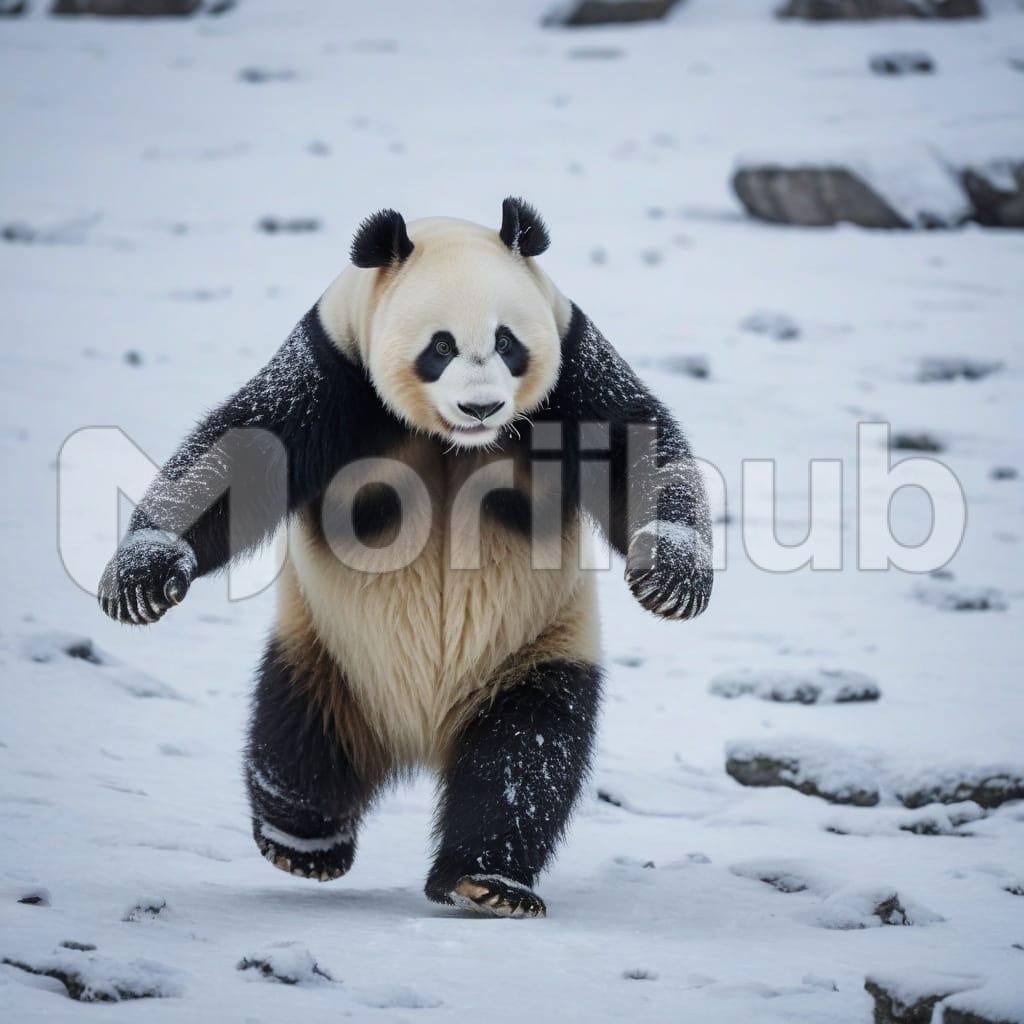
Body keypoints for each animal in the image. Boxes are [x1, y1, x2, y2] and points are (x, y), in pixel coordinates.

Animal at [98, 198, 713, 919]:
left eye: (507, 341)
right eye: (440, 346)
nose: (482, 405)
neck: (454, 441)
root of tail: (420, 735)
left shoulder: (571, 365)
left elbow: (634, 448)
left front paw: (671, 579)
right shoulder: (335, 364)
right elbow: (240, 452)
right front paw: (143, 576)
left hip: (533, 649)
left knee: (525, 754)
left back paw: (488, 880)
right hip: (330, 651)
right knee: (299, 736)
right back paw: (303, 842)